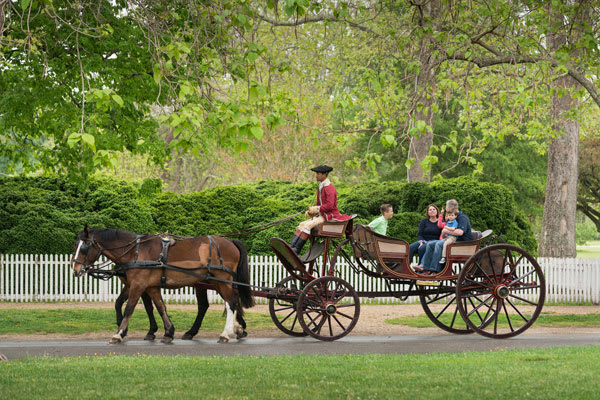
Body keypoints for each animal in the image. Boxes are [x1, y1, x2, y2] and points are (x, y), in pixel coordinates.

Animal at [70, 227, 253, 342]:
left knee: (230, 304)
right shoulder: (149, 287)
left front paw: (119, 333)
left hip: (222, 281)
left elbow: (130, 308)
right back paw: (236, 329)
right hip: (215, 282)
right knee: (227, 304)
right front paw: (168, 332)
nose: (75, 269)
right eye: (75, 245)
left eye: (85, 247)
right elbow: (159, 307)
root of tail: (229, 241)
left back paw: (225, 334)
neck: (135, 251)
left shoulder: (138, 285)